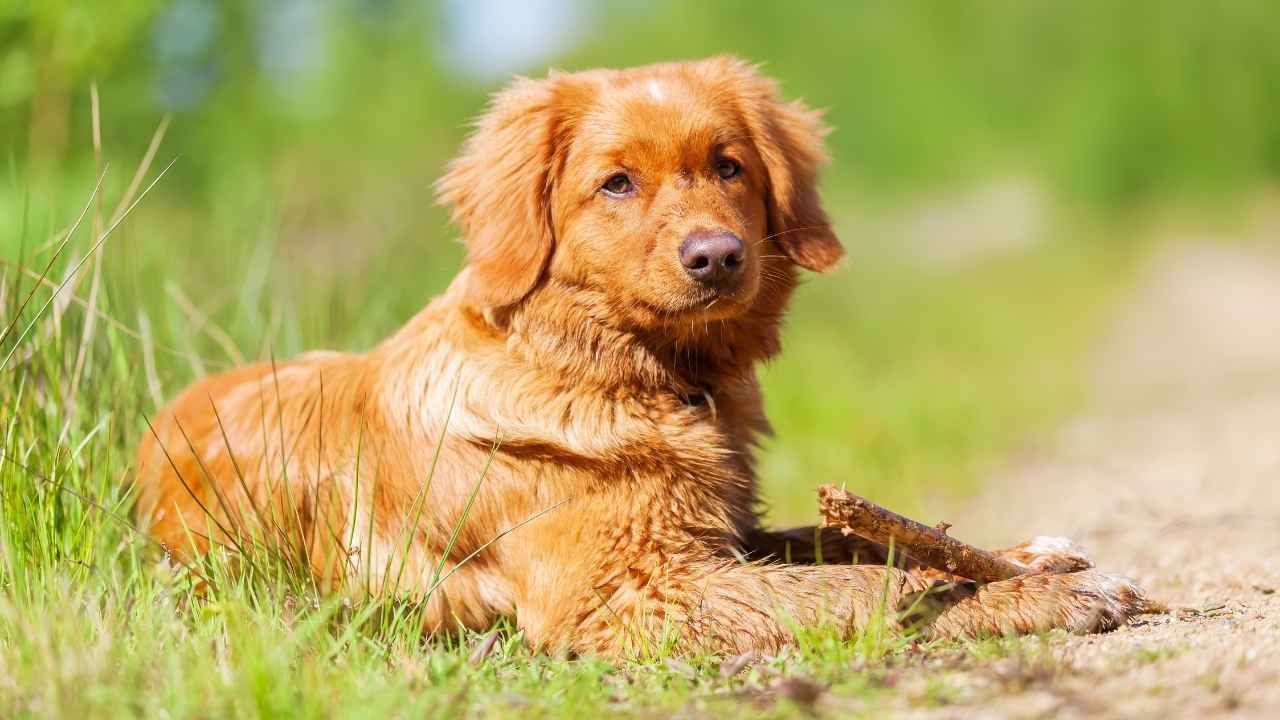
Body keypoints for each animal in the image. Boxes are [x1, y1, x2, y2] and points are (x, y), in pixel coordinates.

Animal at [135, 57, 1157, 650]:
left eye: (729, 165)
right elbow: (861, 585)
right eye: (616, 184)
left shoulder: (718, 538)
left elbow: (846, 539)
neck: (629, 374)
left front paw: (1022, 557)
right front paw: (1031, 600)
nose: (717, 256)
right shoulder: (629, 594)